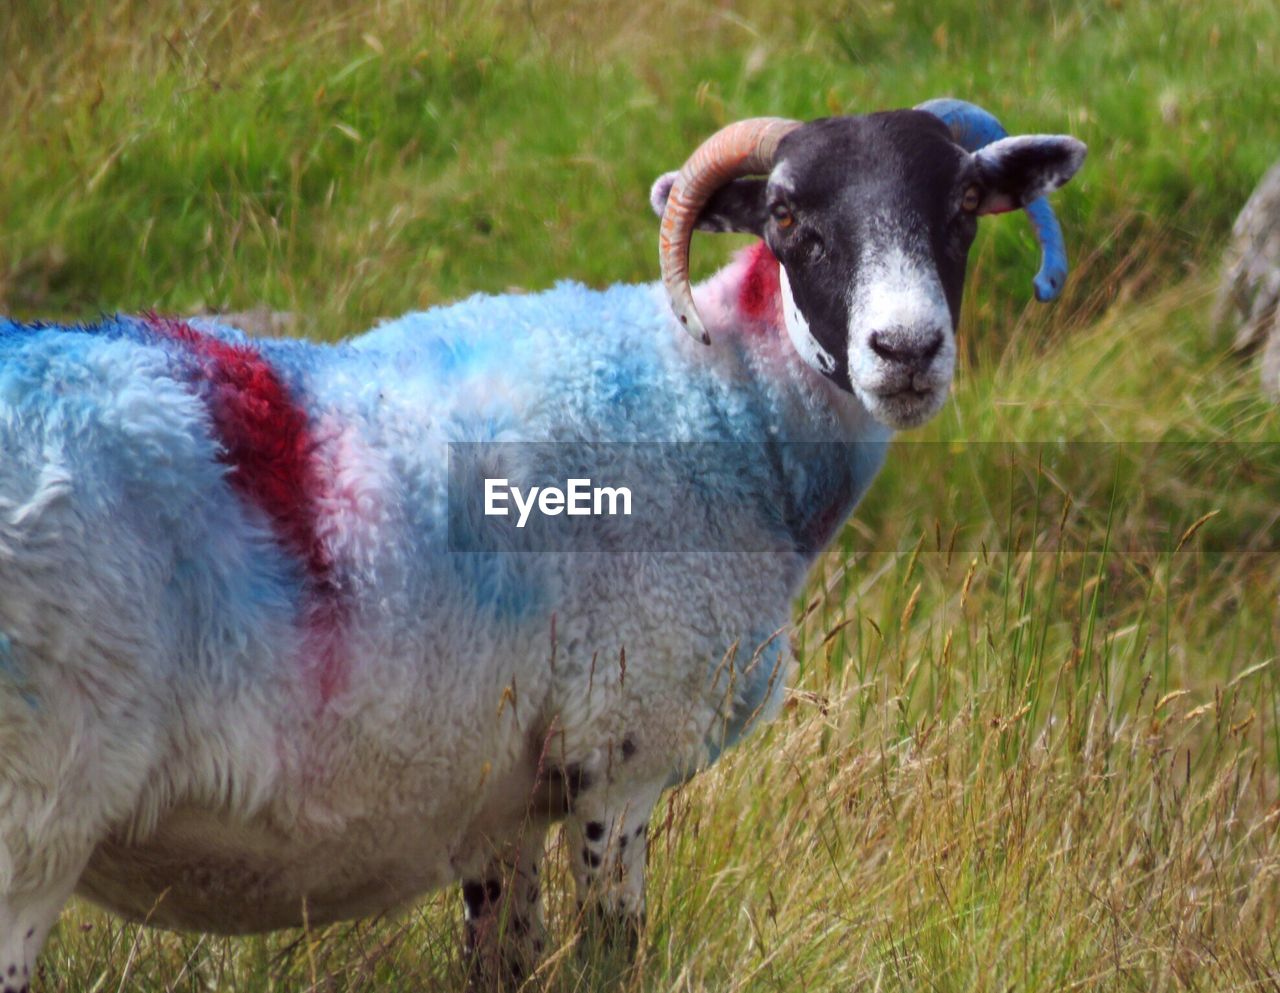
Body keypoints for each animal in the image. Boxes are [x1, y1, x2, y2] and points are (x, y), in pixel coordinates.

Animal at [0, 99, 1085, 982]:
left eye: (961, 206)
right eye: (785, 218)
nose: (906, 351)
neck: (720, 405)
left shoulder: (504, 802)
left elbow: (504, 959)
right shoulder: (622, 749)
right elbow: (613, 957)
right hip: (36, 811)